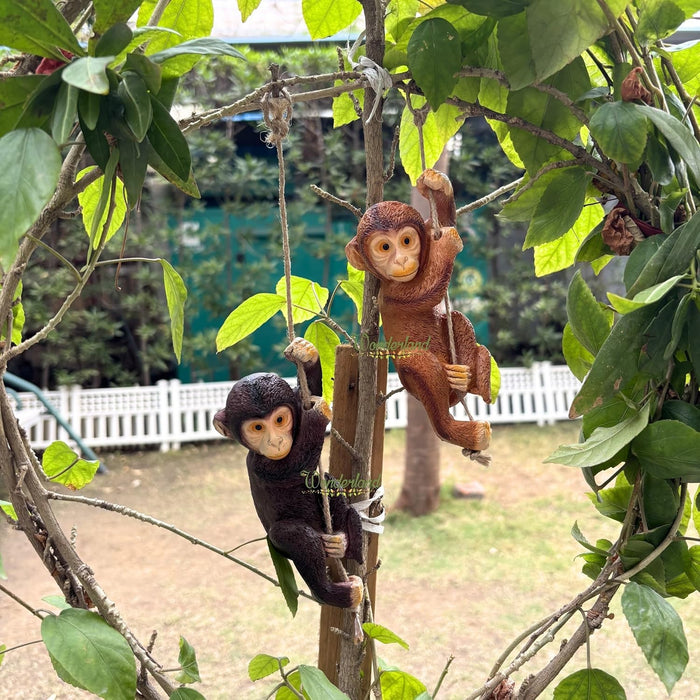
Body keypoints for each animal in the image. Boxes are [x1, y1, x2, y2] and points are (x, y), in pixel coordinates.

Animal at [213, 338, 363, 609]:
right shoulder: (260, 466)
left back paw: (342, 542)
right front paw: (319, 414)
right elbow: (297, 463)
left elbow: (307, 392)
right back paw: (333, 593)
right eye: (257, 427)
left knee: (326, 482)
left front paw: (306, 353)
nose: (275, 441)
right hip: (281, 546)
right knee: (296, 537)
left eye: (280, 420)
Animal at [346, 169, 492, 454]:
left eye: (406, 241)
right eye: (384, 247)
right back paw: (463, 431)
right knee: (418, 363)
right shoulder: (392, 294)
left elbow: (440, 223)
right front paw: (447, 244)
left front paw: (437, 184)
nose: (402, 259)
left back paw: (467, 379)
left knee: (456, 319)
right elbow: (427, 290)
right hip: (412, 382)